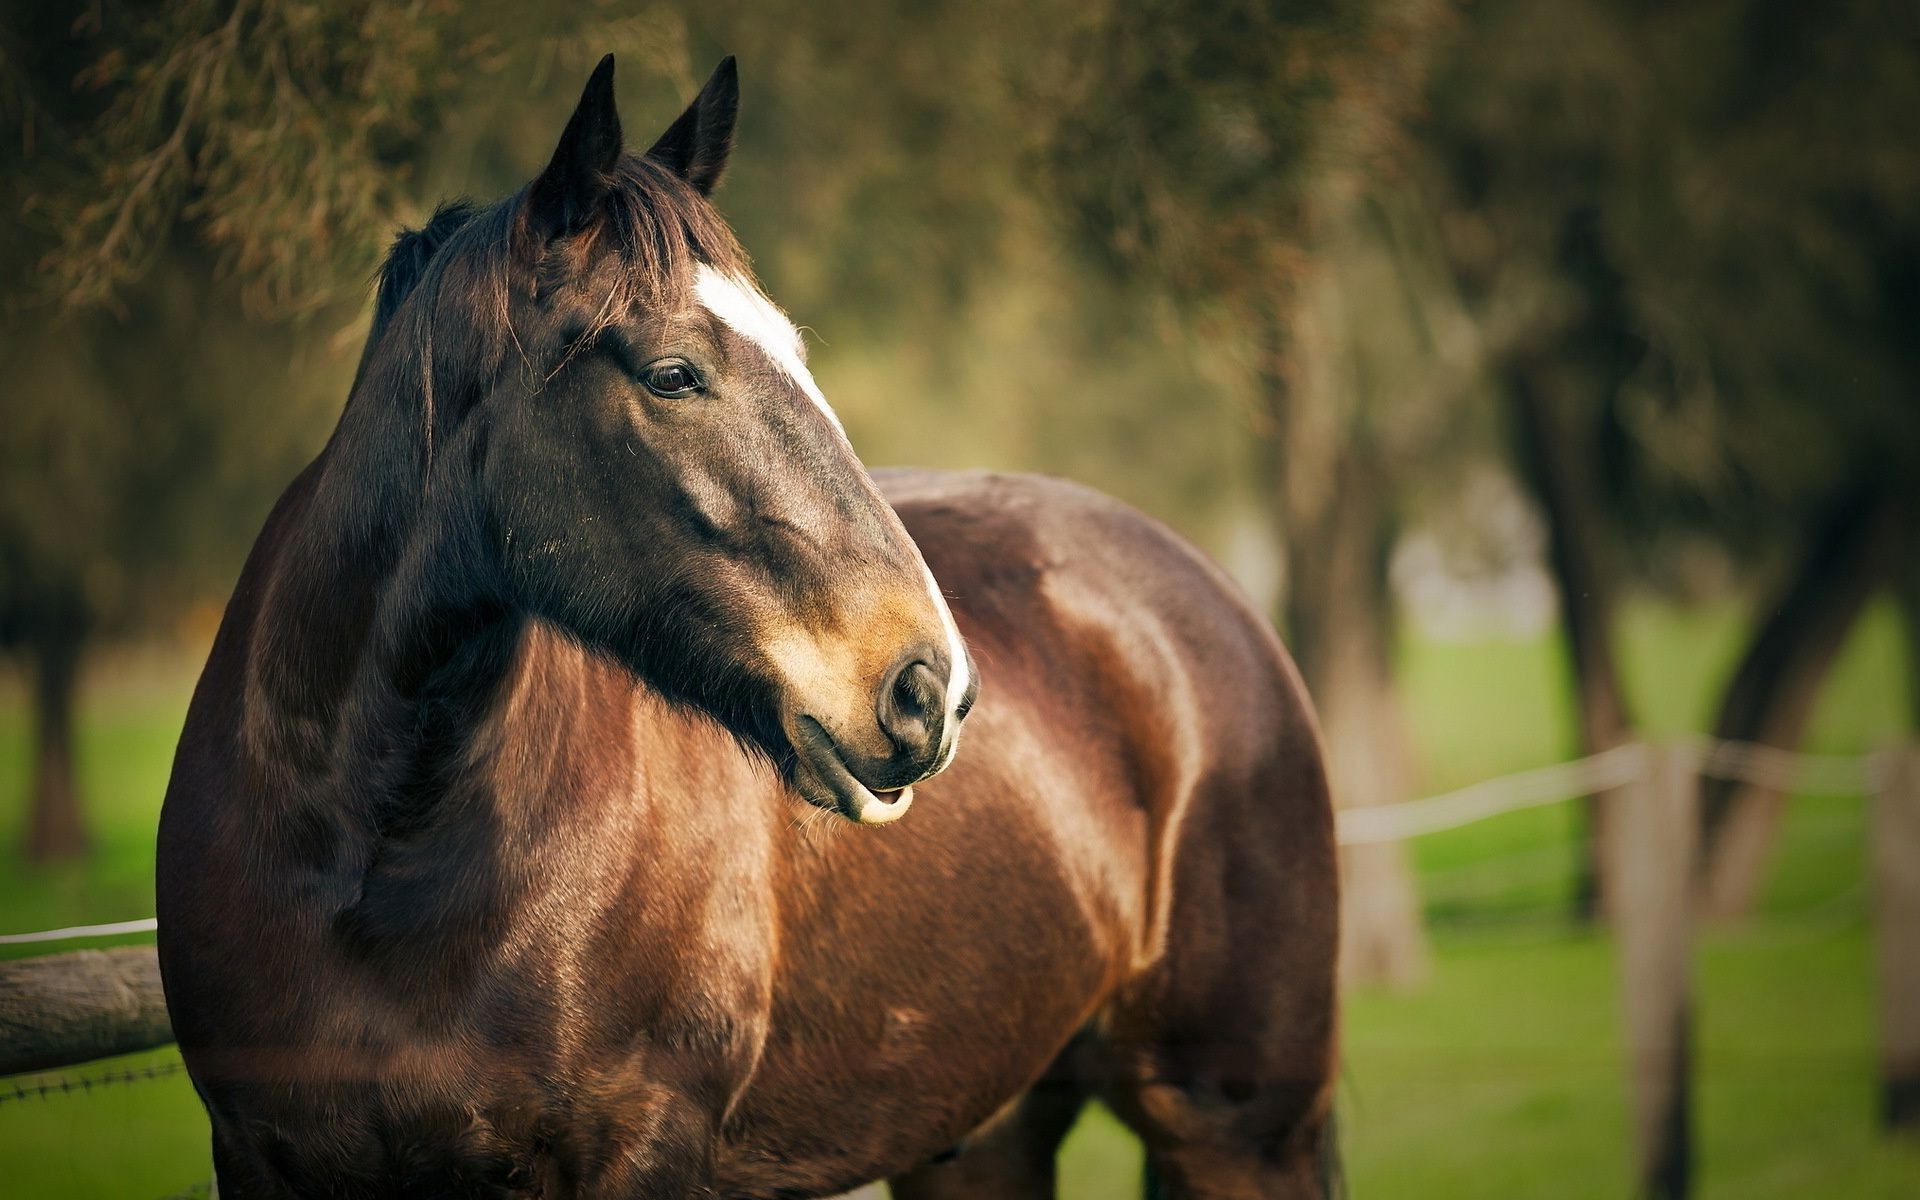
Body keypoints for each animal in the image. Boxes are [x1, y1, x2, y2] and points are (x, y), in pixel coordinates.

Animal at [155, 55, 1339, 1199]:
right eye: (673, 373)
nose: (931, 690)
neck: (366, 864)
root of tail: (1215, 601)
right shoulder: (258, 1158)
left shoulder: (641, 1147)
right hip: (981, 1143)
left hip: (1238, 1135)